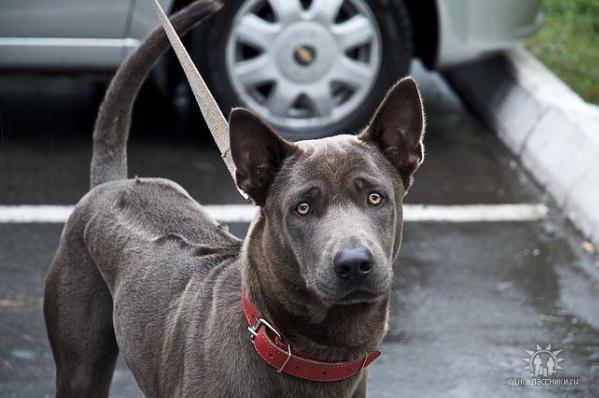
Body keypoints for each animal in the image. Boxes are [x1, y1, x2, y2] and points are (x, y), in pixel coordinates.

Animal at [42, 1, 424, 396]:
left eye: (375, 198)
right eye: (302, 208)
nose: (353, 264)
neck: (314, 355)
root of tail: (114, 183)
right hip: (80, 365)